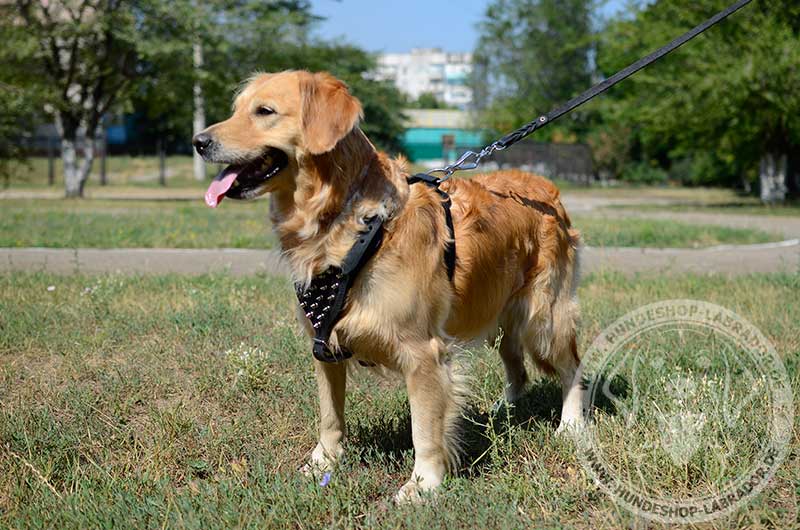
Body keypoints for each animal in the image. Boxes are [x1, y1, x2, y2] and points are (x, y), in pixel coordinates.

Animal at [192, 72, 580, 502]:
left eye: (264, 111)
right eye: (236, 110)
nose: (198, 142)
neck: (353, 224)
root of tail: (548, 190)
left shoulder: (423, 353)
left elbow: (424, 430)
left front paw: (423, 484)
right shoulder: (323, 344)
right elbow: (330, 417)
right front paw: (322, 464)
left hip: (544, 317)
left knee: (572, 367)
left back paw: (571, 426)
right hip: (500, 315)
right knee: (518, 369)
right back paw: (501, 412)